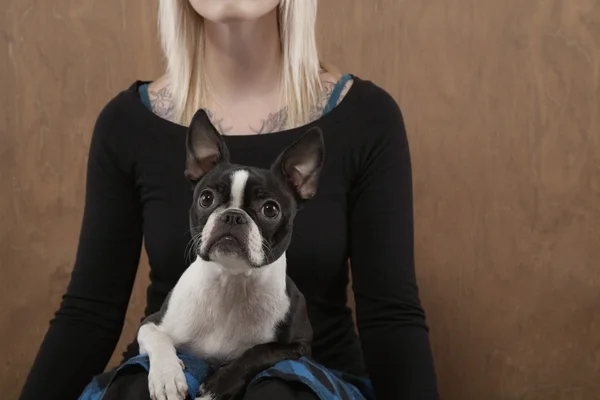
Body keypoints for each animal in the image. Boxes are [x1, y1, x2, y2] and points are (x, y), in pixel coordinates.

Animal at [137, 109, 324, 400]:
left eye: (270, 209)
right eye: (206, 198)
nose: (233, 216)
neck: (231, 282)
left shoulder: (300, 345)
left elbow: (259, 352)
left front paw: (219, 385)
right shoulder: (151, 323)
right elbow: (159, 338)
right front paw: (167, 377)